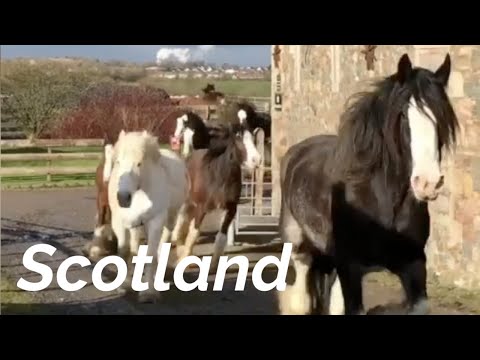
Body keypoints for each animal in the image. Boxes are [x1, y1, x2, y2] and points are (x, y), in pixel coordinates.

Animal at [106, 129, 188, 304]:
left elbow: (151, 254)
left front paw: (148, 293)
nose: (123, 198)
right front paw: (123, 285)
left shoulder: (155, 221)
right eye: (117, 162)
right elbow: (125, 251)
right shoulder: (121, 222)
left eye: (139, 164)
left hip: (169, 220)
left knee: (162, 246)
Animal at [173, 122, 262, 272]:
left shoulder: (230, 209)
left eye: (252, 138)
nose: (257, 160)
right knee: (181, 220)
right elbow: (194, 233)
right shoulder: (201, 208)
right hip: (187, 201)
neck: (219, 178)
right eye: (238, 139)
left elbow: (221, 237)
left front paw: (214, 265)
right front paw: (183, 259)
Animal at [280, 53, 460, 316]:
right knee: (301, 294)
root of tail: (296, 152)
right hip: (298, 245)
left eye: (442, 117)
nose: (428, 183)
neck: (380, 198)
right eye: (403, 115)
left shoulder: (414, 266)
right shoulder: (351, 268)